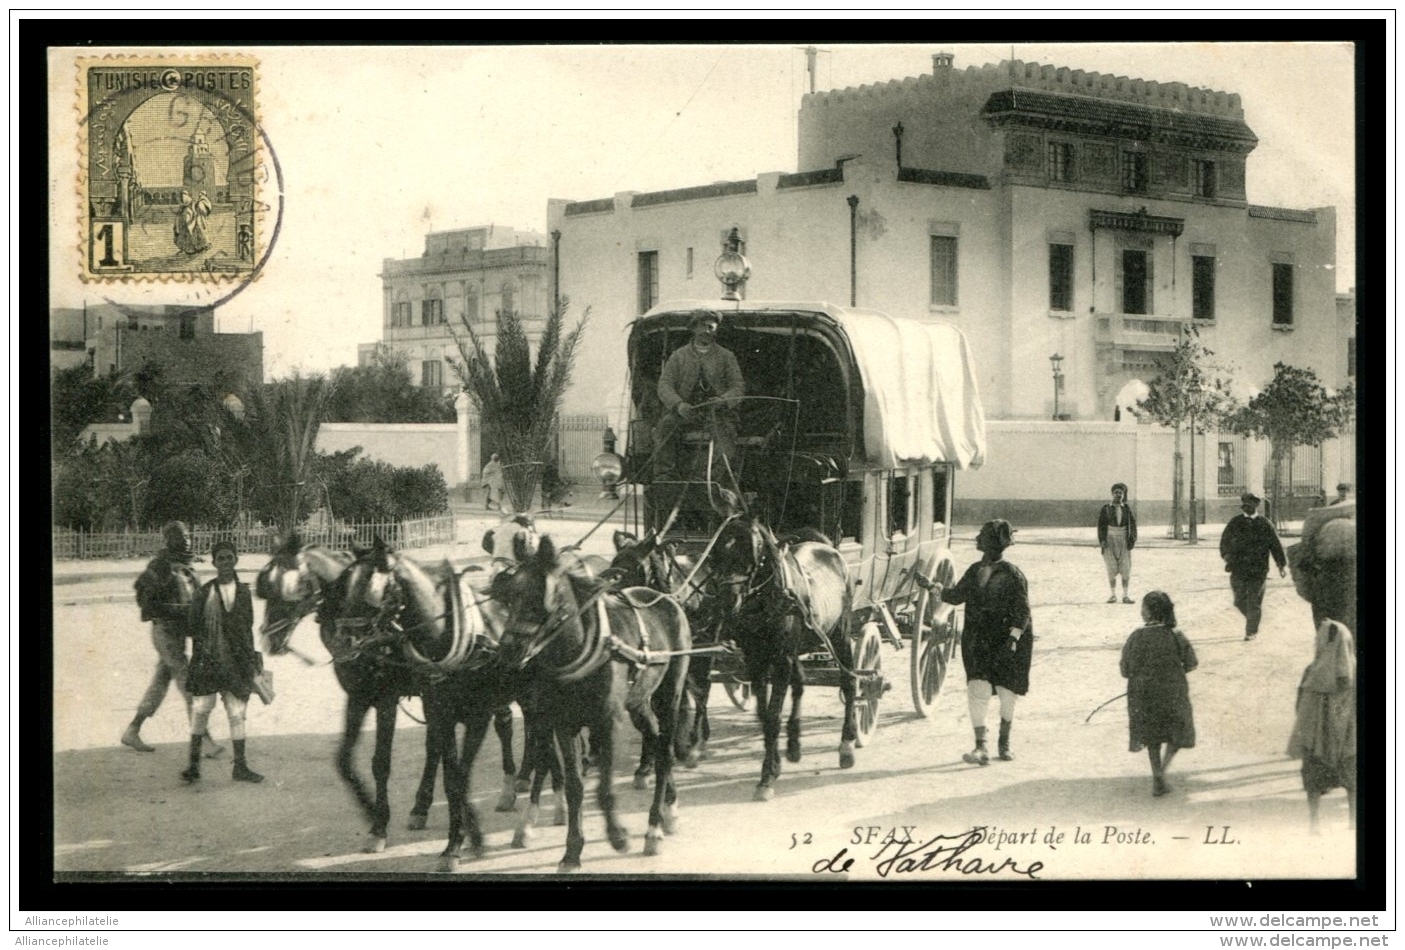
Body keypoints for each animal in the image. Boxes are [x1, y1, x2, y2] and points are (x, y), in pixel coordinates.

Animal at [255, 534, 519, 854]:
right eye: (264, 588)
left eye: (292, 585)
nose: (270, 638)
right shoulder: (358, 696)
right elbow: (344, 759)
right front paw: (372, 812)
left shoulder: (386, 699)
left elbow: (381, 762)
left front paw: (379, 824)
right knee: (435, 746)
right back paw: (421, 807)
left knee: (503, 725)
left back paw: (510, 788)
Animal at [491, 534, 694, 865]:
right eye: (509, 597)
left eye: (539, 598)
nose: (508, 651)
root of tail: (664, 598)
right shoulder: (563, 723)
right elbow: (574, 785)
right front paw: (573, 848)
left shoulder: (607, 722)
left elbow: (604, 787)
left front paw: (618, 836)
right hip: (638, 701)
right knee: (654, 737)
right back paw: (670, 808)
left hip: (670, 695)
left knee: (664, 751)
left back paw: (654, 828)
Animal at [708, 517, 859, 798]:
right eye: (717, 553)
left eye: (752, 552)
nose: (727, 600)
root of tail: (829, 548)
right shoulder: (756, 660)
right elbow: (765, 715)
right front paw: (775, 765)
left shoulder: (780, 661)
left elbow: (773, 715)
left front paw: (766, 777)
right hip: (798, 648)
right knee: (799, 684)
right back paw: (794, 745)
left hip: (841, 635)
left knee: (849, 682)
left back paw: (847, 744)